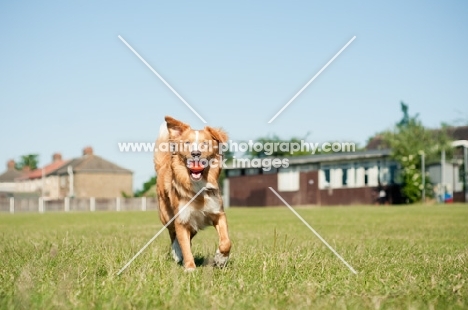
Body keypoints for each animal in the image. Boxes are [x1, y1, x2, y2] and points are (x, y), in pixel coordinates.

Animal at [154, 116, 231, 272]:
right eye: (187, 143)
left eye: (205, 144)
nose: (195, 153)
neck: (198, 185)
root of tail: (163, 166)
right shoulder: (182, 220)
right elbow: (184, 246)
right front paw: (190, 268)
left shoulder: (218, 213)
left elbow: (226, 241)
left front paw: (221, 259)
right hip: (167, 216)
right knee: (173, 235)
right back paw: (177, 253)